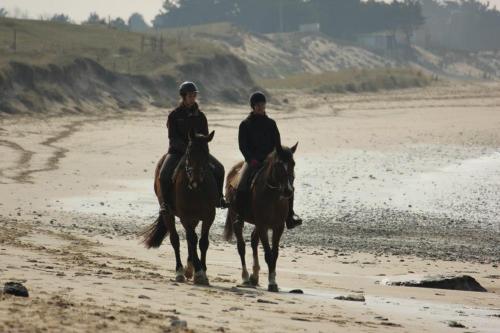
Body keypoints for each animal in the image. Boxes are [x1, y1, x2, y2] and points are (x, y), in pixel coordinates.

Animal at [142, 128, 218, 284]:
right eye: (189, 151)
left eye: (206, 152)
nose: (195, 180)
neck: (196, 190)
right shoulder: (185, 217)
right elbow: (192, 239)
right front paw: (199, 272)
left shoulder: (209, 216)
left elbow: (203, 242)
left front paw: (202, 272)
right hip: (168, 214)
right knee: (176, 240)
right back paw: (180, 271)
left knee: (190, 240)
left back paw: (190, 268)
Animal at [224, 141, 296, 290]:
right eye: (278, 165)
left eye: (293, 163)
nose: (288, 191)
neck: (273, 196)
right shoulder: (263, 226)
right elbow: (268, 254)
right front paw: (272, 283)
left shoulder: (278, 227)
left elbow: (274, 253)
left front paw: (273, 279)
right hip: (236, 218)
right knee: (241, 246)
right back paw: (246, 277)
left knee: (253, 240)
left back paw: (255, 276)